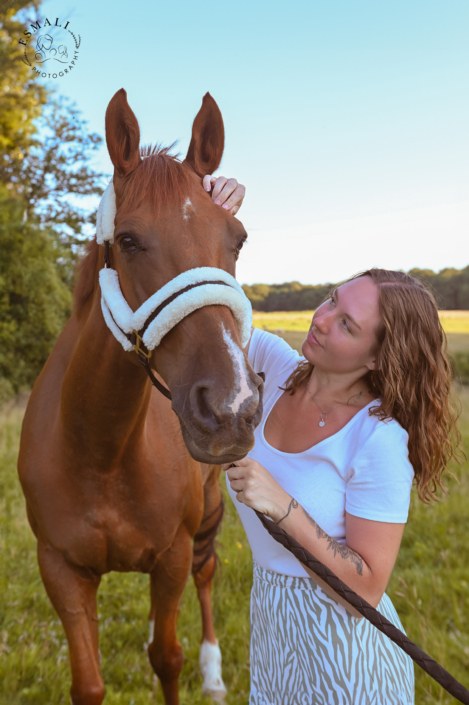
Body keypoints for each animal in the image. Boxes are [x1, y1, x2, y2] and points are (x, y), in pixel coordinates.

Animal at [17, 89, 264, 704]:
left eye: (238, 238)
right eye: (127, 240)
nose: (231, 408)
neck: (99, 450)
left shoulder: (173, 554)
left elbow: (167, 658)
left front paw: (194, 666)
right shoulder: (60, 570)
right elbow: (89, 683)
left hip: (207, 515)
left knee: (205, 577)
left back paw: (213, 672)